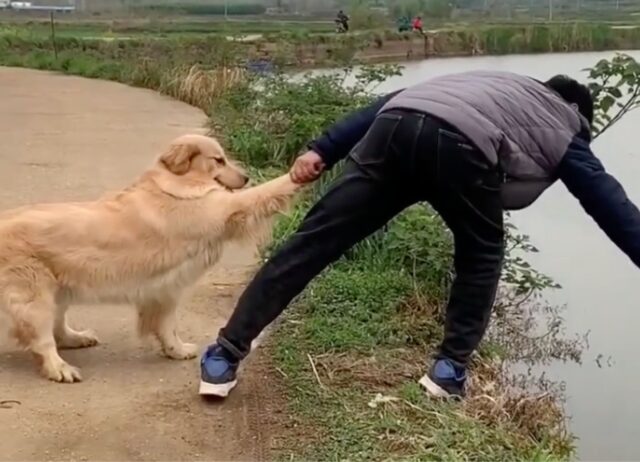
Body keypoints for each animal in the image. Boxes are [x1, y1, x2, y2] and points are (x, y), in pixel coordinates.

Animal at [0, 134, 302, 382]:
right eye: (218, 160)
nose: (246, 177)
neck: (176, 184)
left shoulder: (165, 290)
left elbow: (167, 326)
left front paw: (175, 350)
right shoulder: (224, 208)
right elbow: (264, 192)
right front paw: (298, 174)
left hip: (59, 290)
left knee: (59, 327)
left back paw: (77, 338)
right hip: (35, 297)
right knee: (43, 340)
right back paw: (59, 368)